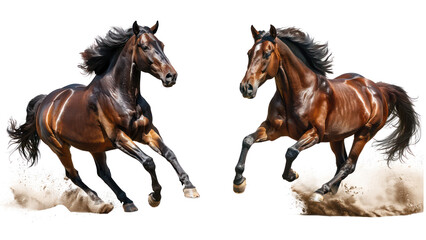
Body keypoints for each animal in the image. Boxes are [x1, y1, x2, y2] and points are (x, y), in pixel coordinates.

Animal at [7, 20, 200, 212]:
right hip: (60, 148)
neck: (121, 95)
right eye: (144, 46)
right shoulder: (119, 137)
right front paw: (154, 197)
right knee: (73, 174)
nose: (171, 76)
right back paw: (101, 202)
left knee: (103, 173)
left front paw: (189, 187)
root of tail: (44, 102)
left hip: (95, 147)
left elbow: (169, 153)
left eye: (162, 45)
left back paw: (126, 201)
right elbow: (148, 161)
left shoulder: (146, 132)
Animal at [235, 25, 422, 202]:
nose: (246, 88)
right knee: (341, 162)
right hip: (337, 138)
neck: (301, 92)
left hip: (364, 133)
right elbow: (247, 140)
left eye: (267, 53)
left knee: (348, 165)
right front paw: (238, 181)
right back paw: (331, 194)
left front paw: (292, 175)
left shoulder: (315, 134)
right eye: (249, 53)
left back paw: (320, 192)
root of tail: (377, 89)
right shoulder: (273, 129)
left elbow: (291, 151)